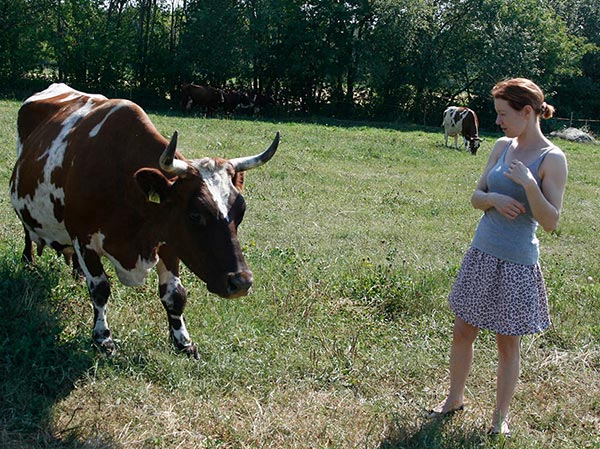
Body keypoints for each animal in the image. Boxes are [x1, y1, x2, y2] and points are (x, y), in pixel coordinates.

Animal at [9, 83, 280, 356]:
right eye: (195, 214)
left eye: (241, 212)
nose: (242, 282)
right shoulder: (82, 238)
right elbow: (100, 289)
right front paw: (102, 338)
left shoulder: (168, 239)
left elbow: (175, 295)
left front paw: (183, 341)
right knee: (27, 233)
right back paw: (28, 261)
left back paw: (76, 273)